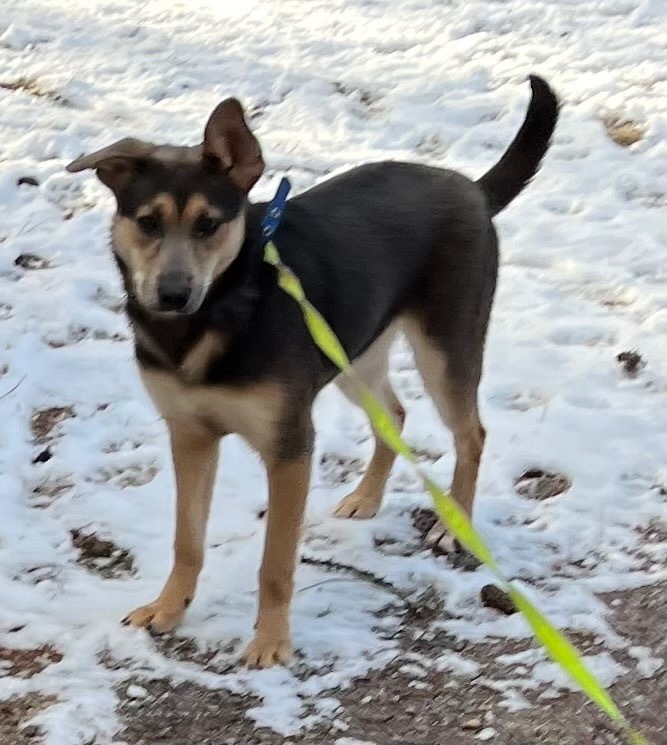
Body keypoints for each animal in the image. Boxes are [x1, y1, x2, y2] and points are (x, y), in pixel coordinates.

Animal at [66, 75, 560, 668]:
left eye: (209, 225)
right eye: (147, 223)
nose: (173, 294)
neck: (219, 312)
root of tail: (472, 189)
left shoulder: (289, 448)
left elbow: (276, 563)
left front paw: (270, 642)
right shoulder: (189, 435)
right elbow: (187, 540)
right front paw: (168, 608)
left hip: (445, 351)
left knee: (471, 434)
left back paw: (452, 527)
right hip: (353, 354)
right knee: (395, 413)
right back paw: (366, 498)